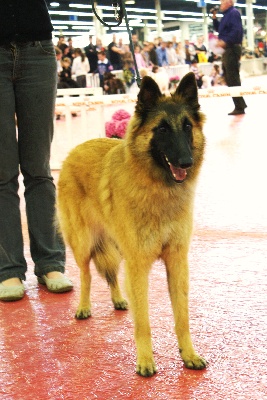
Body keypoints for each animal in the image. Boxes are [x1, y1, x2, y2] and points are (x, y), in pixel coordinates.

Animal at [56, 71, 207, 376]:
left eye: (187, 126)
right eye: (162, 129)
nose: (186, 162)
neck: (158, 189)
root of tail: (75, 150)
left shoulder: (176, 261)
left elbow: (182, 316)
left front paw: (189, 355)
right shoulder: (139, 265)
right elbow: (143, 320)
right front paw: (146, 361)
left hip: (114, 246)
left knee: (111, 272)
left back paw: (117, 299)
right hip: (83, 244)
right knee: (87, 276)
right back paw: (83, 307)